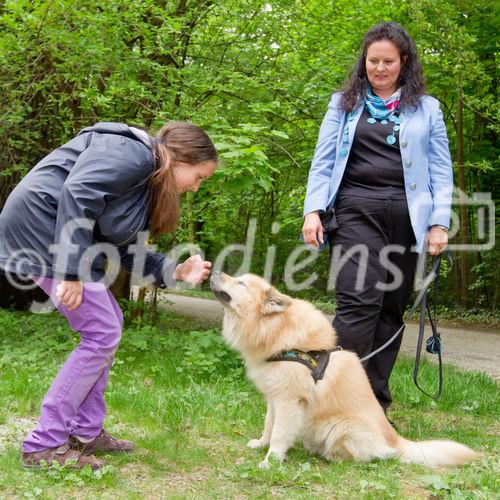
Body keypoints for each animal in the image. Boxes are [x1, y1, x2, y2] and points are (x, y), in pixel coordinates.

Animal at [209, 270, 478, 468]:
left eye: (241, 283)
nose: (215, 270)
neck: (276, 330)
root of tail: (396, 441)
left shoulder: (289, 400)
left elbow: (279, 432)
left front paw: (271, 460)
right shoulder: (275, 397)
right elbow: (269, 424)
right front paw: (261, 444)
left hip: (342, 426)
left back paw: (331, 455)